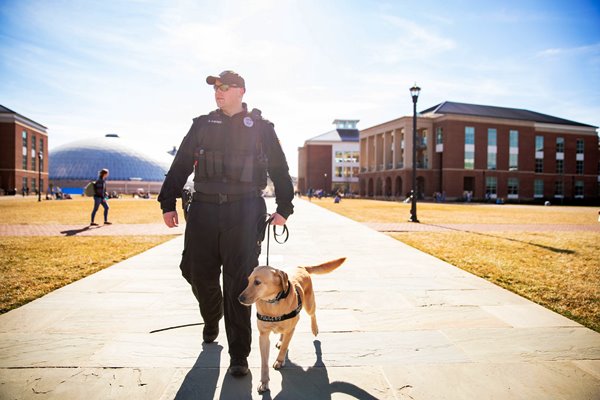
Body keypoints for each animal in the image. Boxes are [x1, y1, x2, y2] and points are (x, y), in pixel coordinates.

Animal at [237, 258, 344, 392]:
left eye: (257, 282)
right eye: (249, 281)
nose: (240, 298)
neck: (273, 302)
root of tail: (301, 267)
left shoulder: (290, 330)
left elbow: (284, 348)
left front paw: (279, 361)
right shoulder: (263, 335)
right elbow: (264, 362)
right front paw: (264, 382)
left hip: (309, 304)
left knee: (313, 314)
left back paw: (314, 329)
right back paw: (281, 340)